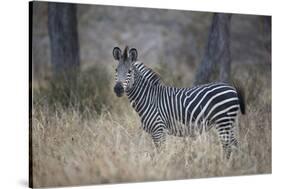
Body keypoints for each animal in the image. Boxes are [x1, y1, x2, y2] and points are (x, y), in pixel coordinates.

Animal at [112, 46, 244, 159]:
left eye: (129, 71)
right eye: (116, 70)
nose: (118, 89)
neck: (148, 97)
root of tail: (231, 88)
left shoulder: (159, 130)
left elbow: (161, 153)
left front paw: (161, 168)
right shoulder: (156, 132)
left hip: (224, 121)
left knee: (227, 146)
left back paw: (225, 164)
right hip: (228, 123)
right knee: (234, 144)